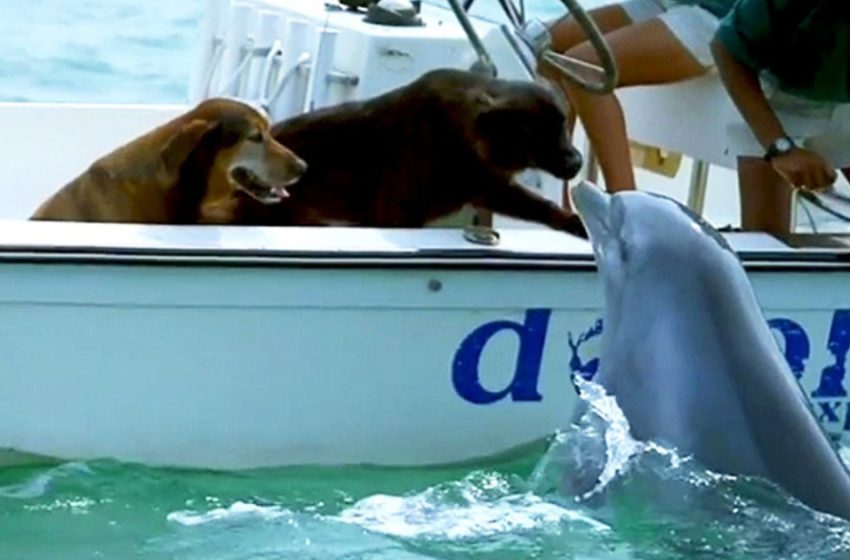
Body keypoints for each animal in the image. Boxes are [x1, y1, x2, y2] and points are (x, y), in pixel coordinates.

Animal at [227, 69, 584, 235]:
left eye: (563, 124)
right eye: (542, 132)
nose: (578, 161)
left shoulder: (488, 185)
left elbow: (542, 206)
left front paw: (577, 223)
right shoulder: (399, 214)